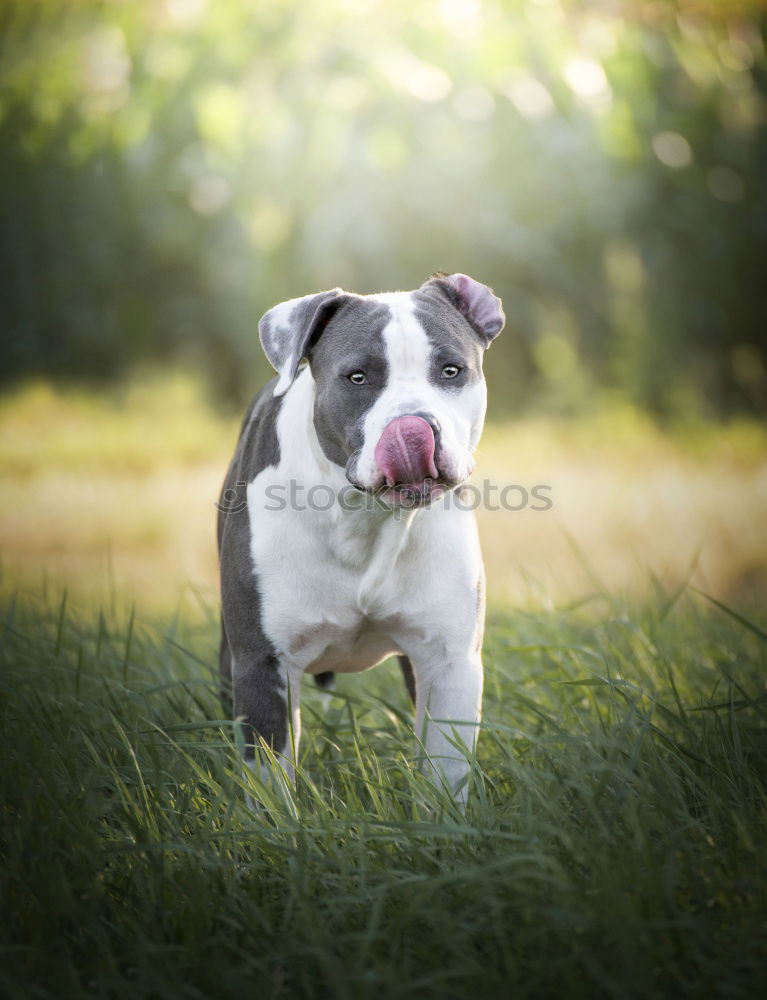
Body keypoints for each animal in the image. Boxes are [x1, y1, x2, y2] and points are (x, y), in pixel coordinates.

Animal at [216, 272, 504, 804]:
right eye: (357, 377)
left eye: (451, 370)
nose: (413, 427)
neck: (366, 517)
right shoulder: (262, 664)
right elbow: (270, 783)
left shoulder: (450, 661)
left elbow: (445, 771)